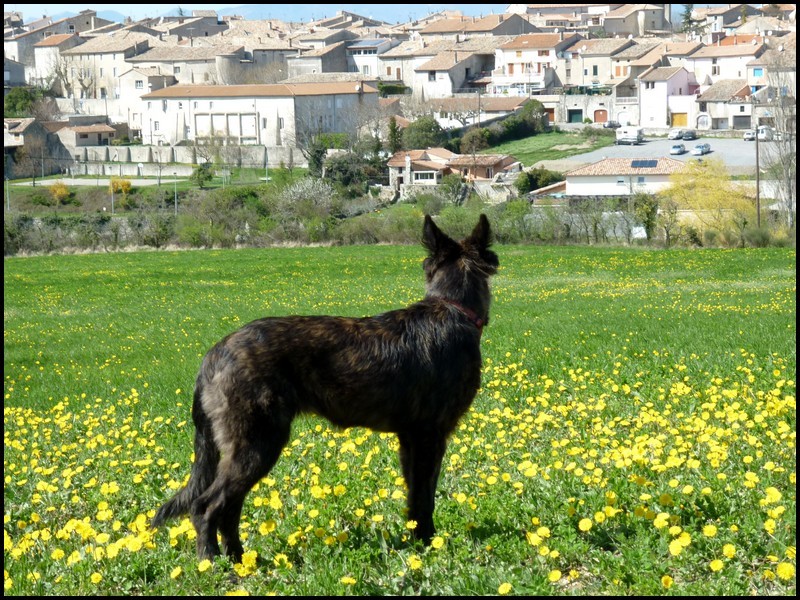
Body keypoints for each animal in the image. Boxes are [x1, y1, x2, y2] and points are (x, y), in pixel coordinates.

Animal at [152, 213, 500, 560]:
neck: (453, 309)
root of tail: (214, 354)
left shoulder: (410, 440)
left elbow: (413, 497)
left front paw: (416, 540)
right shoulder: (430, 436)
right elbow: (425, 498)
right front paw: (428, 543)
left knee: (229, 509)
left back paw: (241, 561)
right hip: (257, 443)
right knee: (206, 506)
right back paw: (211, 562)